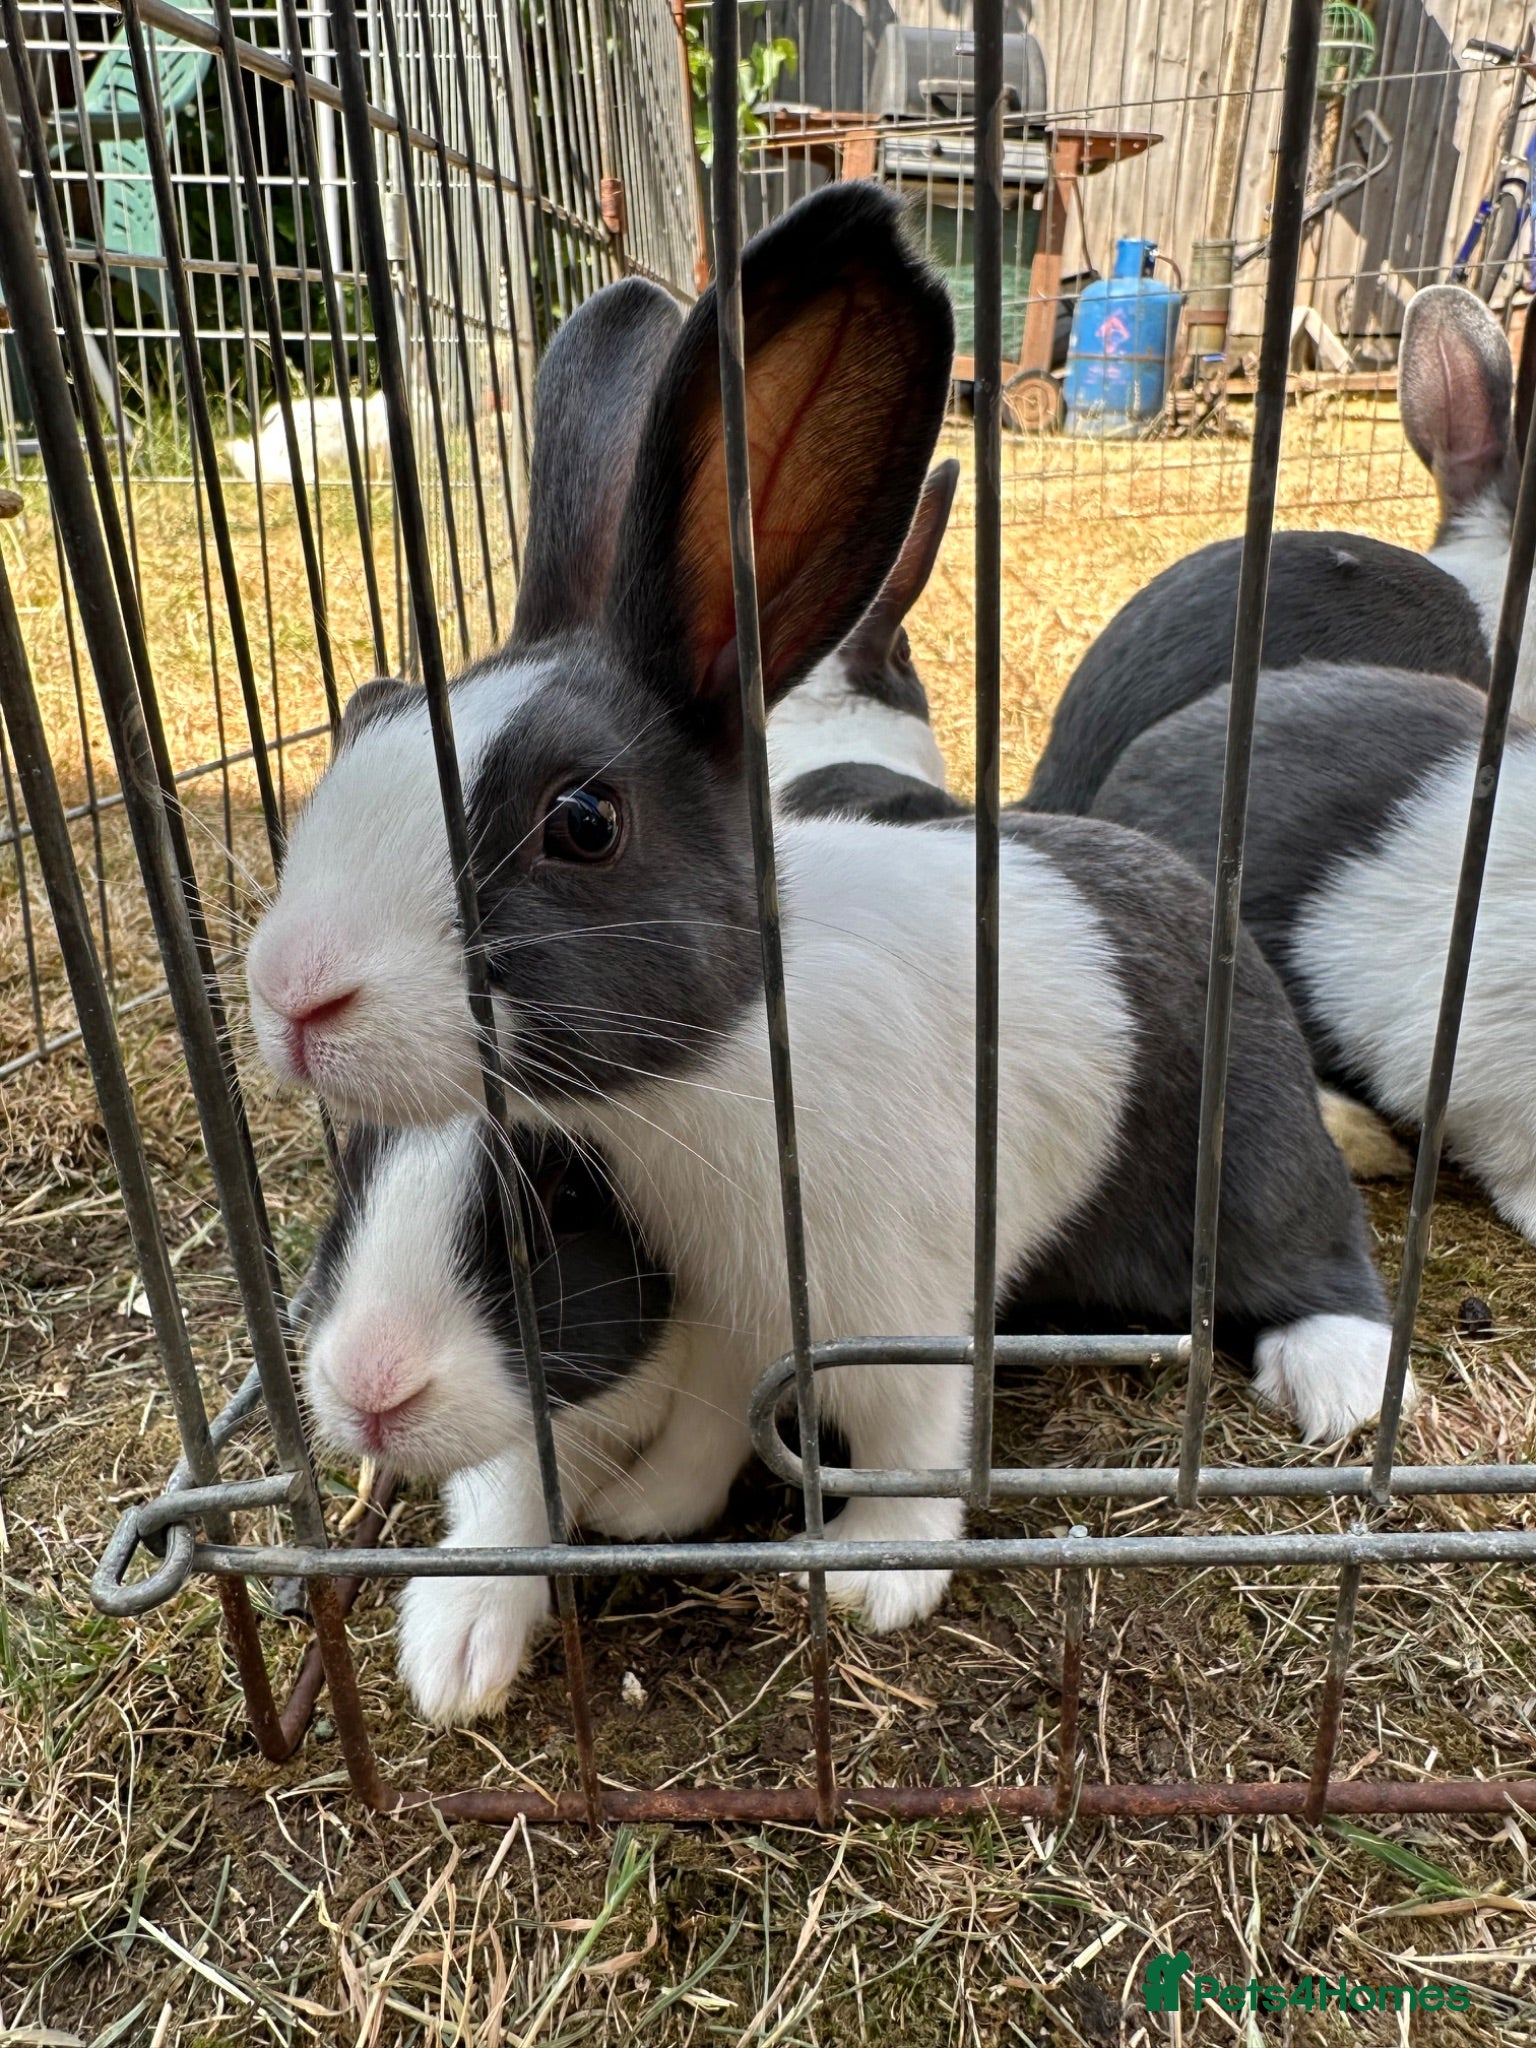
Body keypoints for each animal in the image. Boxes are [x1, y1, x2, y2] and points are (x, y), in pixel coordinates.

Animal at [247, 184, 1402, 1716]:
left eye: (581, 821)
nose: (290, 990)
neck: (705, 1087)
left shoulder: (898, 1300)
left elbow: (916, 1438)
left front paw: (872, 1575)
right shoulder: (717, 1324)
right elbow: (625, 1453)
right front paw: (546, 1585)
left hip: (1251, 1145)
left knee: (1318, 1258)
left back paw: (1341, 1384)